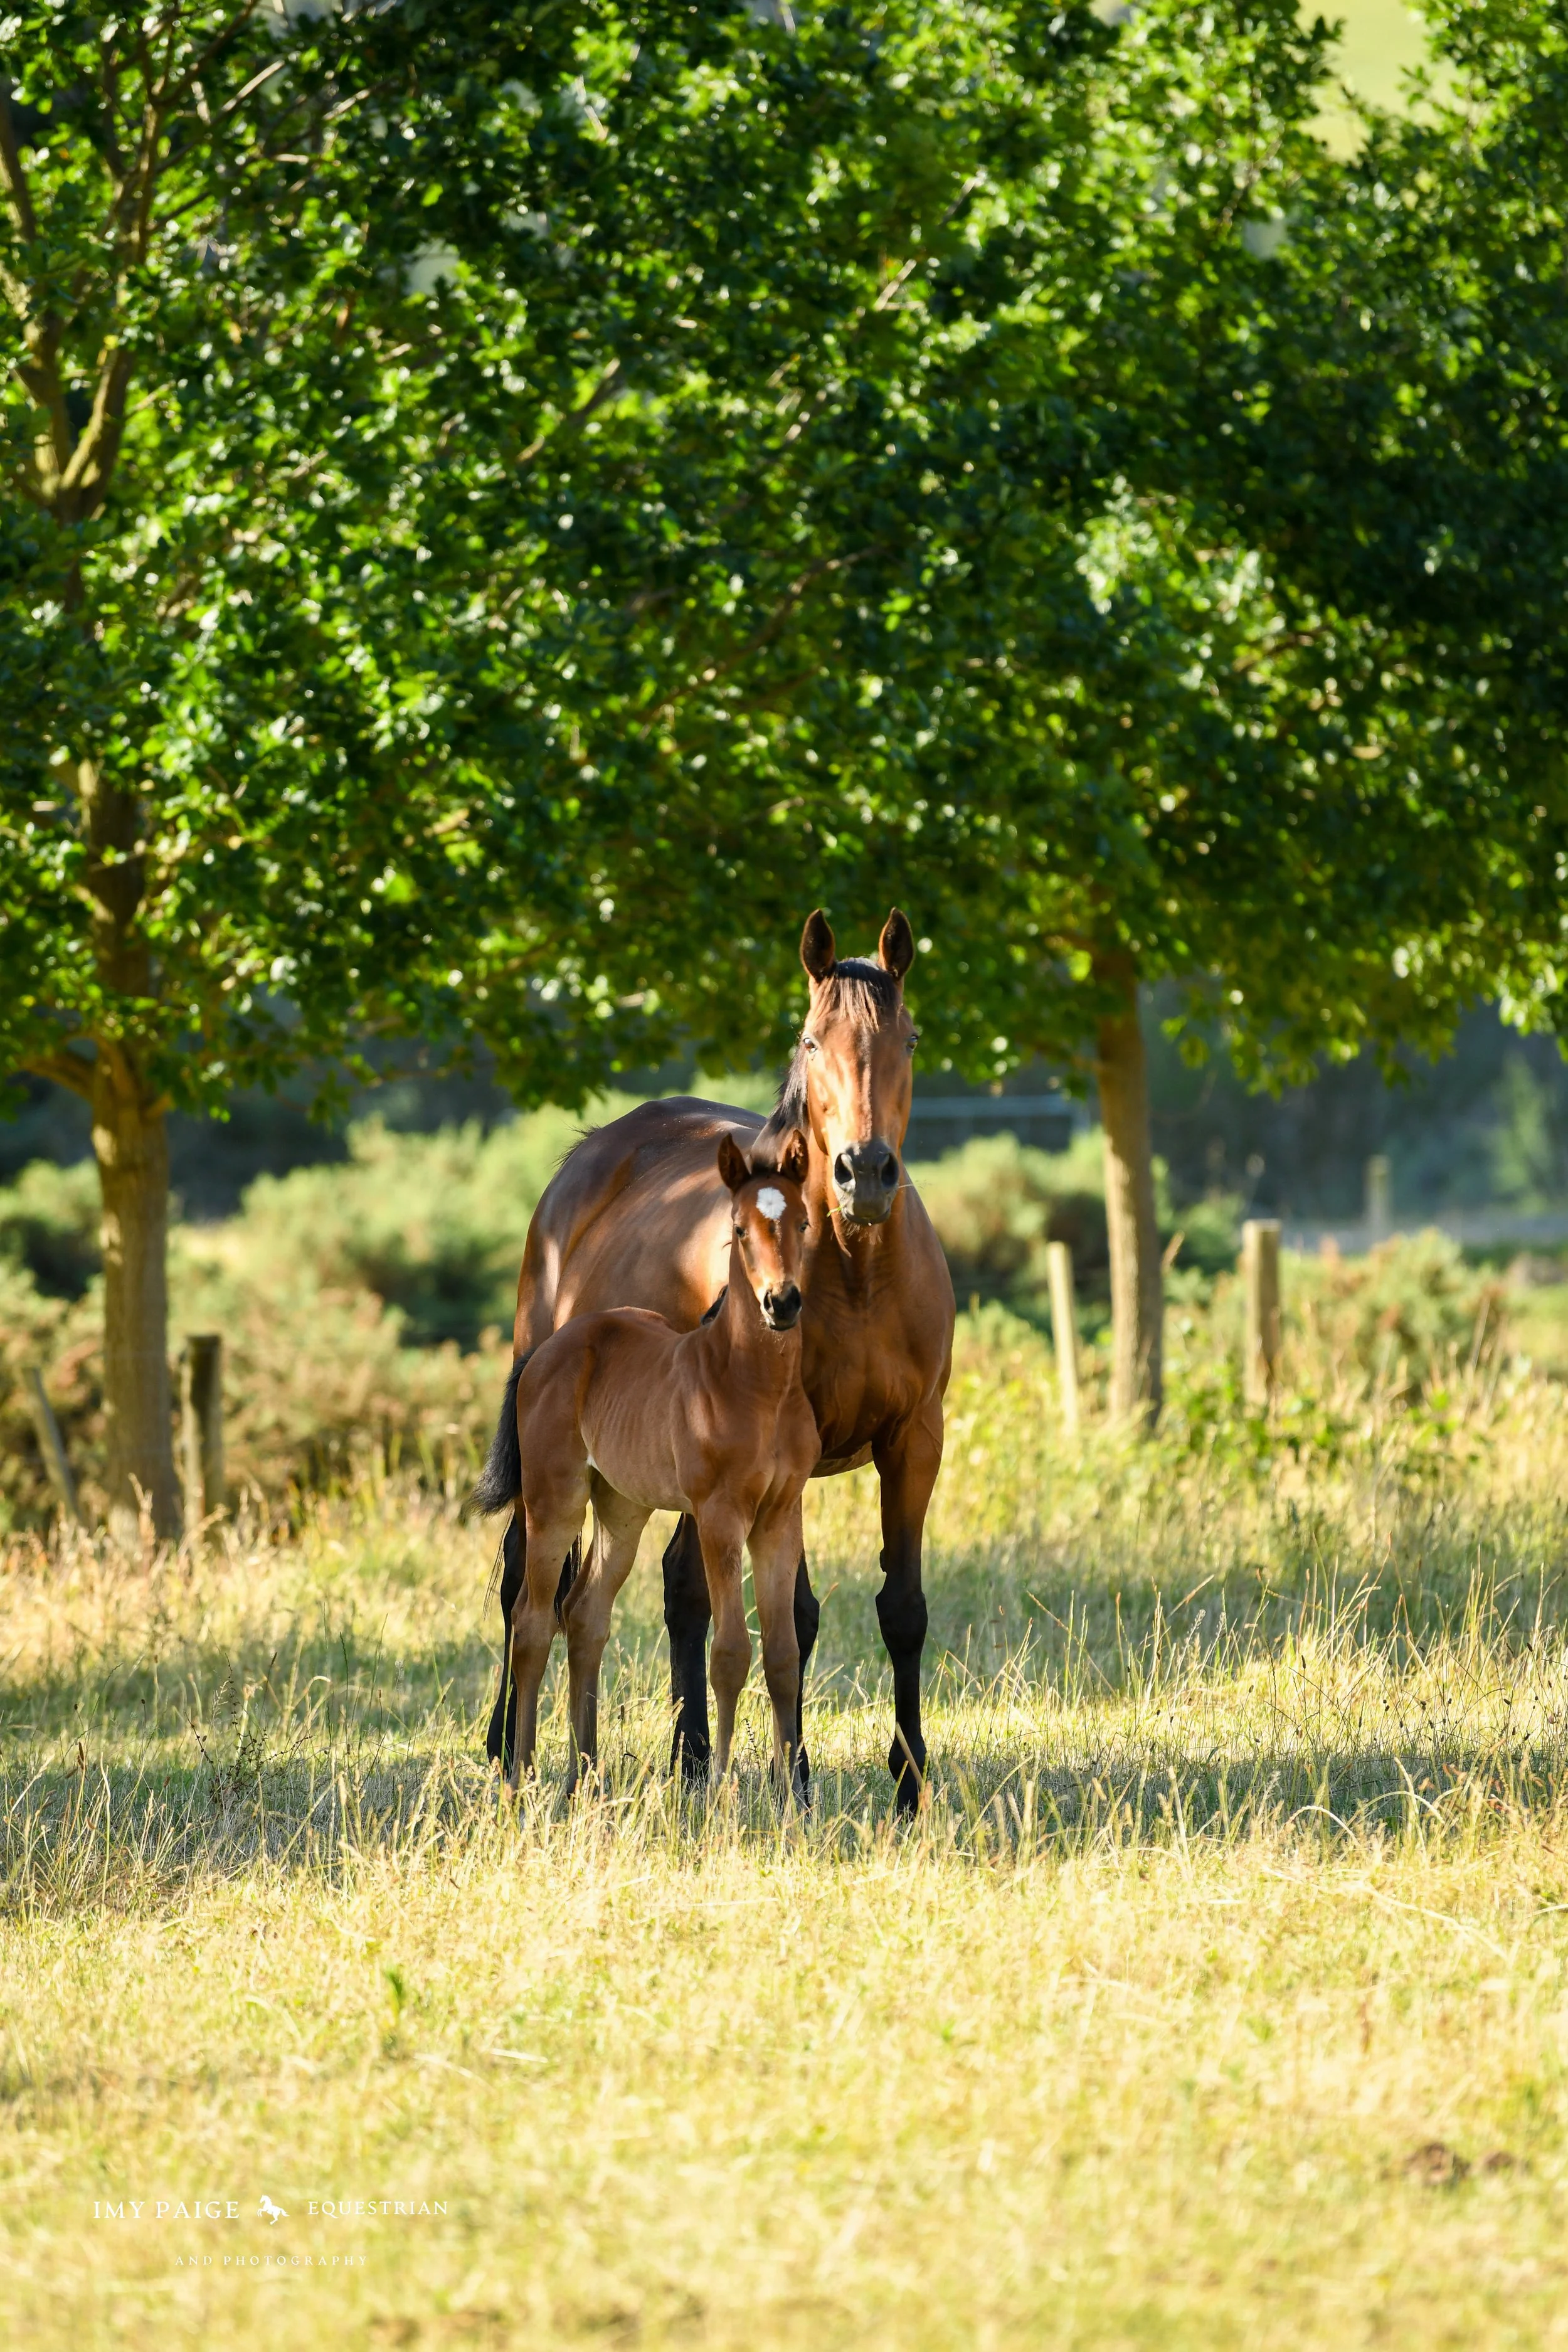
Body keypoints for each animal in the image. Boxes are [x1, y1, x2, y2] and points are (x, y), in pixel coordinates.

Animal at [474, 1131, 819, 1797]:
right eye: (738, 1228)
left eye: (805, 1222)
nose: (782, 1303)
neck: (751, 1385)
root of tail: (545, 1351)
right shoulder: (719, 1516)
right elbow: (730, 1652)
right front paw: (719, 1792)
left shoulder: (780, 1516)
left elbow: (783, 1653)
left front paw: (791, 1797)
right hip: (556, 1502)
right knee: (532, 1621)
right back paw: (522, 1775)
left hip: (622, 1510)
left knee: (585, 1615)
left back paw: (586, 1776)